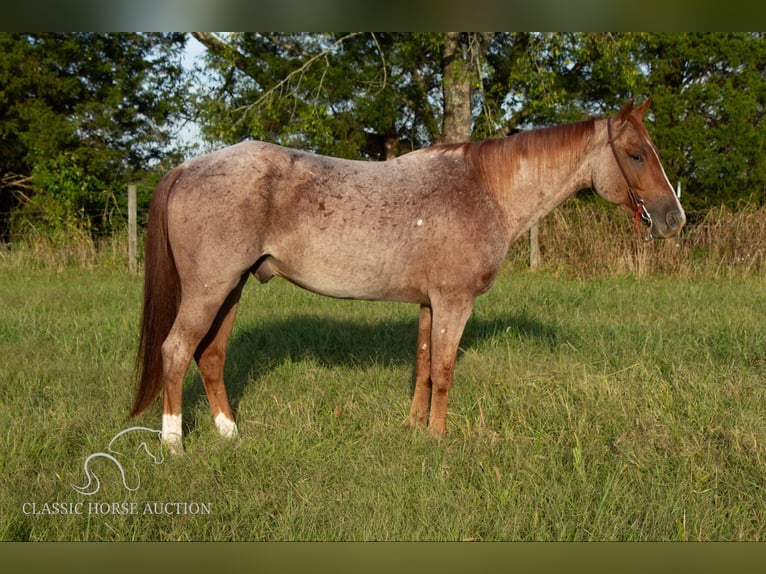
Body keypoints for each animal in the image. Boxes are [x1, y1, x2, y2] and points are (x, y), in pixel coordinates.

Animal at [129, 98, 688, 454]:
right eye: (636, 154)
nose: (674, 219)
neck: (485, 189)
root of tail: (187, 168)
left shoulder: (427, 304)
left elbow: (422, 367)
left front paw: (414, 428)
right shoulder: (454, 302)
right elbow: (444, 370)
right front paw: (438, 440)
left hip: (232, 288)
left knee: (211, 356)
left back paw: (230, 435)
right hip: (210, 289)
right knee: (176, 351)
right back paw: (174, 446)